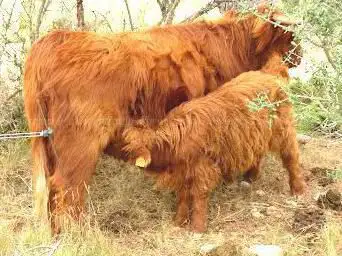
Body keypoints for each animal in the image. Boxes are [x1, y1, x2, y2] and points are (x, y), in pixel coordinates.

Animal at [123, 53, 308, 232]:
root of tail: (268, 74)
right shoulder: (183, 173)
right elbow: (183, 197)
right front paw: (179, 222)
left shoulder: (202, 169)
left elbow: (198, 197)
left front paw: (197, 228)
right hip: (256, 135)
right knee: (258, 152)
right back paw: (250, 178)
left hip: (284, 130)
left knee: (291, 157)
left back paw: (298, 190)